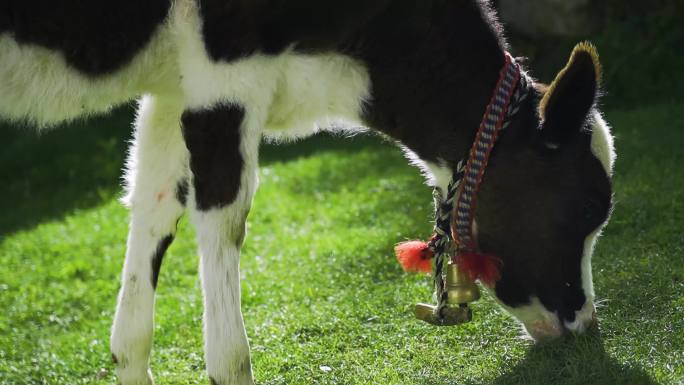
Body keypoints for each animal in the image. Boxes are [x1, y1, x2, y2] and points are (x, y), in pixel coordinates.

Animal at [1, 0, 616, 384]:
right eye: (589, 207)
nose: (584, 322)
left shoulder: (174, 85)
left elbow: (152, 202)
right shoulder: (226, 68)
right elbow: (224, 218)